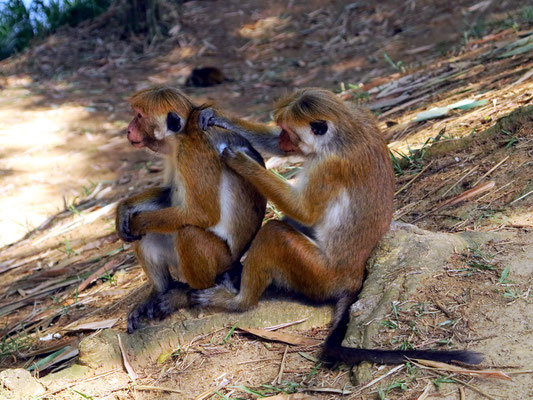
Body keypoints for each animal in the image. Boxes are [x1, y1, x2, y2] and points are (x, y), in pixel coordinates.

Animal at [116, 86, 266, 332]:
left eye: (138, 116)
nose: (128, 129)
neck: (181, 136)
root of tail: (235, 263)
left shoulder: (191, 153)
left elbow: (202, 214)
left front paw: (137, 221)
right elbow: (169, 193)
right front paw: (124, 209)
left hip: (220, 260)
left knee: (189, 232)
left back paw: (188, 294)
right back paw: (160, 290)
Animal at [191, 87, 482, 366]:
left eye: (289, 133)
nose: (285, 141)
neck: (343, 130)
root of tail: (353, 277)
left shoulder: (328, 166)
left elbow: (304, 211)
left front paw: (241, 162)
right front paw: (219, 117)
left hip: (319, 274)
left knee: (275, 233)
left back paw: (239, 302)